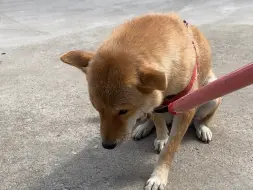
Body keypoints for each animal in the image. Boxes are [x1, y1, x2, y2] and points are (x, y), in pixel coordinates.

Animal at [60, 12, 220, 190]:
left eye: (123, 111)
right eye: (97, 109)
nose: (107, 145)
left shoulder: (185, 110)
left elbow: (169, 149)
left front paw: (159, 176)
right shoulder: (155, 102)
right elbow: (158, 124)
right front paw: (162, 137)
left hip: (212, 92)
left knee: (200, 119)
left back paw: (202, 128)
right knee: (152, 119)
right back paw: (144, 127)